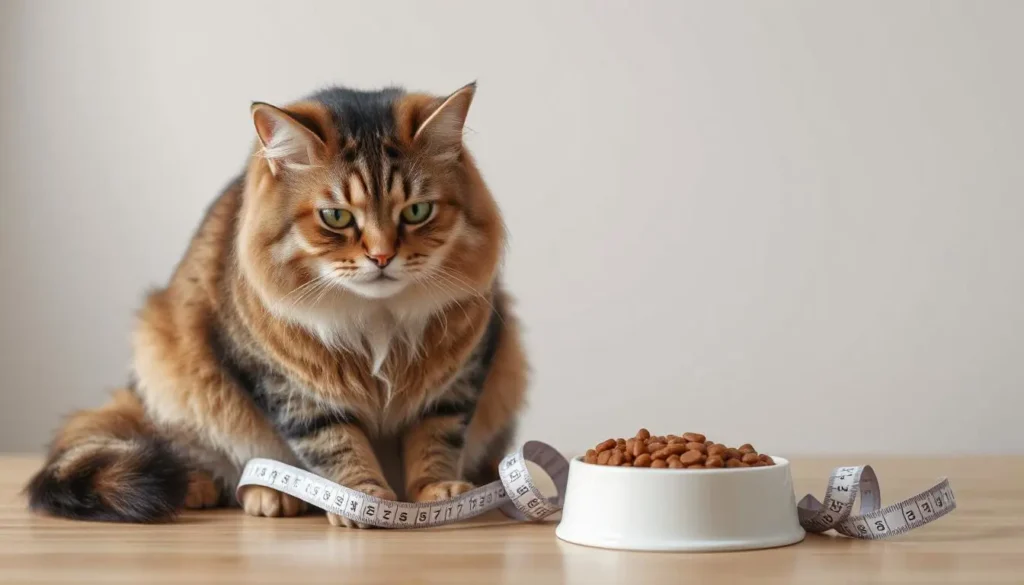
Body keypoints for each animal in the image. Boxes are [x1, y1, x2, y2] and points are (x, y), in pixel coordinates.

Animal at [24, 81, 528, 524]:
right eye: (336, 217)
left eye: (417, 212)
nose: (382, 256)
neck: (377, 319)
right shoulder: (289, 385)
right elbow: (337, 444)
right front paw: (363, 498)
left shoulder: (459, 375)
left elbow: (437, 438)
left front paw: (436, 491)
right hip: (171, 372)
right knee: (200, 455)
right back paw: (241, 492)